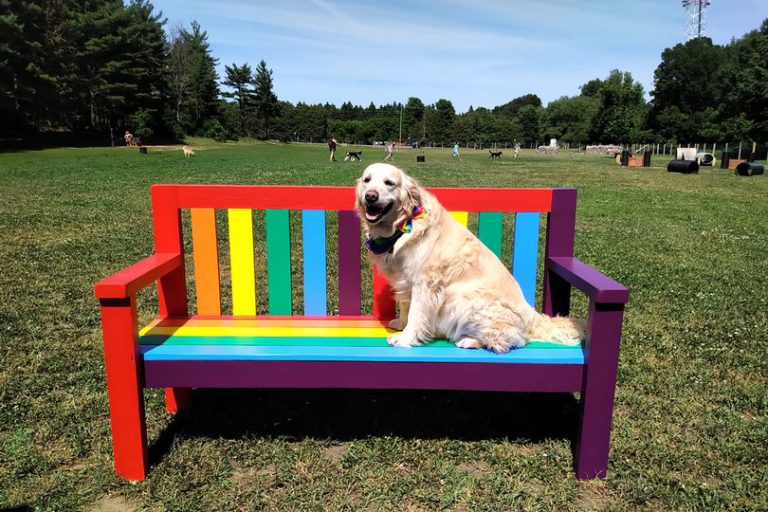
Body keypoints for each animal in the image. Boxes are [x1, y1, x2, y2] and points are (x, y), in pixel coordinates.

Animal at [356, 164, 584, 352]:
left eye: (389, 183)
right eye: (367, 180)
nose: (370, 196)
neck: (401, 226)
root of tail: (532, 316)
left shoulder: (425, 283)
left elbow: (416, 314)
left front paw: (405, 338)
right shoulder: (404, 279)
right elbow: (405, 306)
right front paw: (401, 324)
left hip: (466, 299)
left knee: (514, 339)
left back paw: (469, 341)